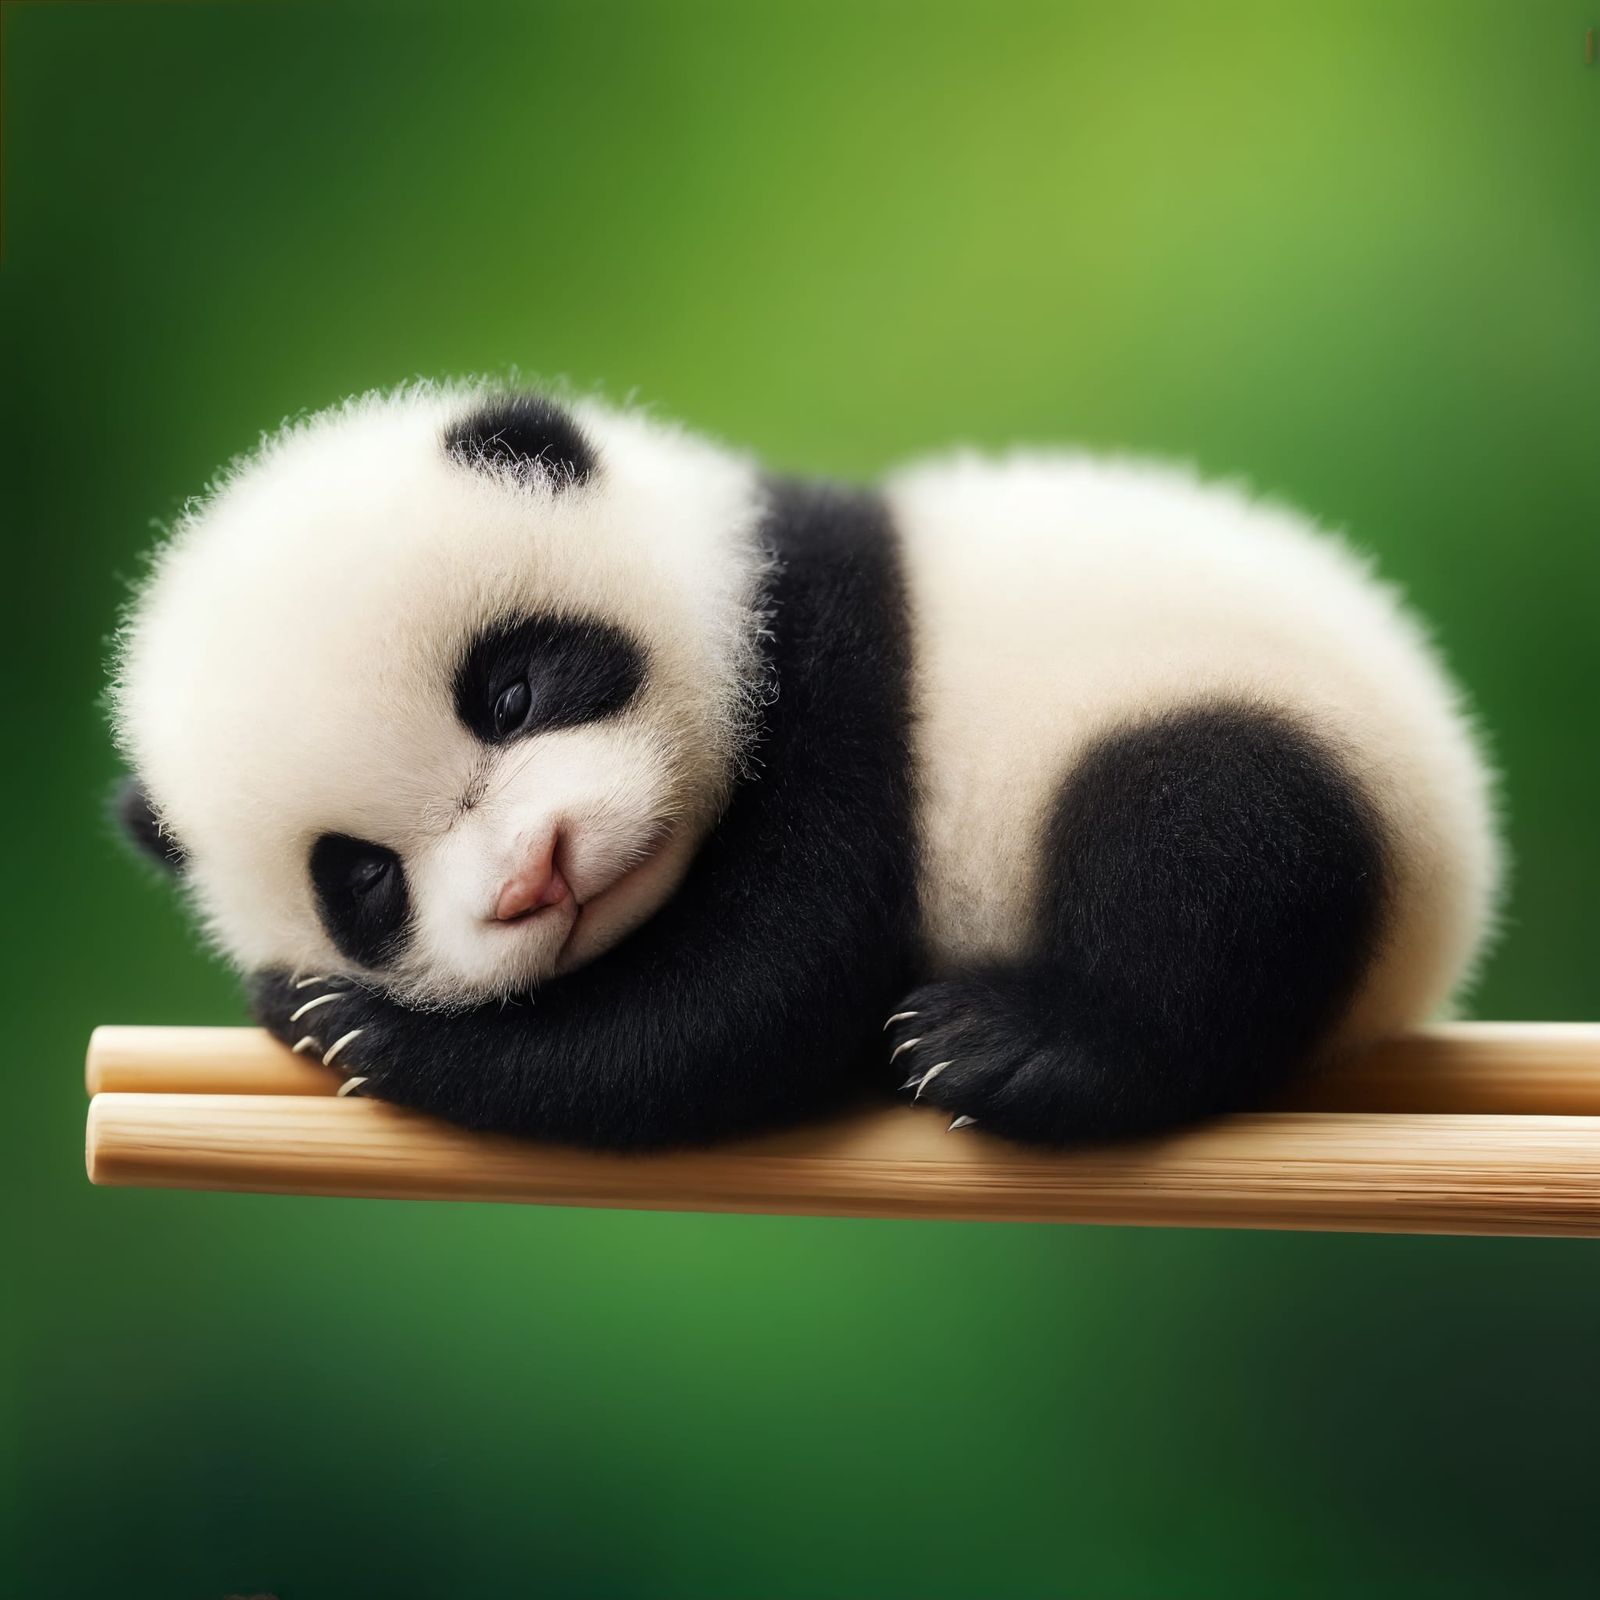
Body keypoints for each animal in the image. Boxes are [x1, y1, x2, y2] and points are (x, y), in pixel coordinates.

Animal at [111, 383, 1501, 1150]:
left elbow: (740, 1004)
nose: (535, 876)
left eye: (508, 692)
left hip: (1246, 730)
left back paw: (1016, 1050)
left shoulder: (837, 699)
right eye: (364, 881)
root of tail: (1456, 895)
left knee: (1205, 842)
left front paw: (353, 1031)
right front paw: (317, 1008)